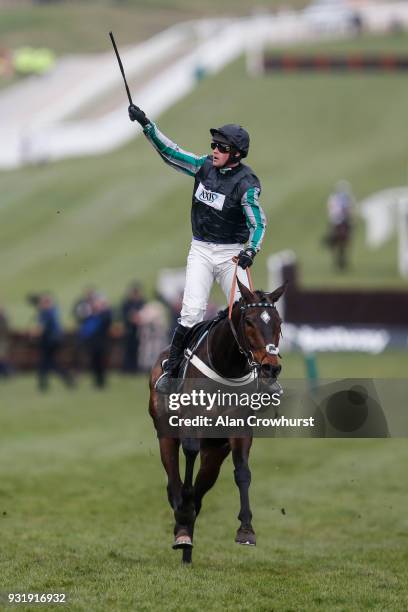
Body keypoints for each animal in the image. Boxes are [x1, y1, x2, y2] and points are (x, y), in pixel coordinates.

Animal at [148, 278, 286, 564]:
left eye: (278, 322)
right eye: (249, 322)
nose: (271, 367)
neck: (226, 365)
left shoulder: (238, 430)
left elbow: (243, 472)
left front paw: (246, 530)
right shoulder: (191, 423)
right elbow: (188, 458)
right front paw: (183, 517)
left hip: (215, 451)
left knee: (201, 489)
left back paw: (187, 544)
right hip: (165, 433)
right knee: (174, 481)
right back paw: (182, 526)